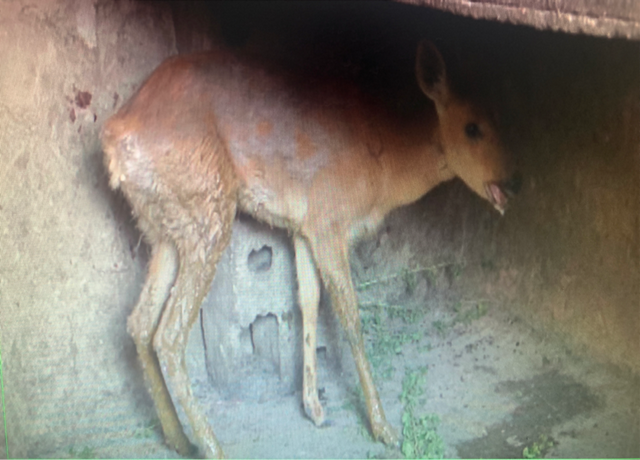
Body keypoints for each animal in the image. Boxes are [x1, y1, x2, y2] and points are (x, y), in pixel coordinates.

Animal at [100, 41, 520, 458]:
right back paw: (212, 446)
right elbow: (350, 317)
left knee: (139, 323)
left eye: (502, 118)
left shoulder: (303, 229)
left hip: (165, 228)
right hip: (207, 212)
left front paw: (314, 407)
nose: (513, 182)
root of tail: (115, 136)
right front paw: (383, 427)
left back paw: (177, 438)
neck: (384, 168)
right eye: (471, 127)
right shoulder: (329, 224)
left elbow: (308, 301)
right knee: (169, 335)